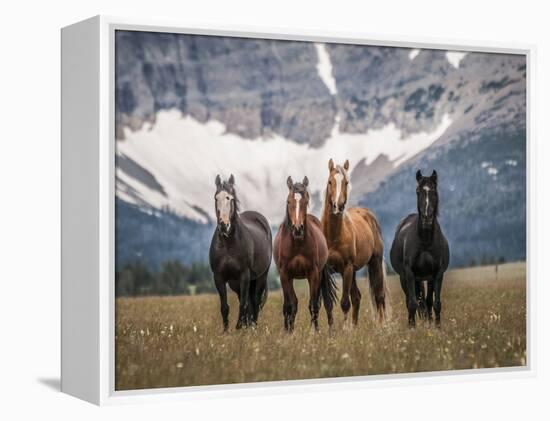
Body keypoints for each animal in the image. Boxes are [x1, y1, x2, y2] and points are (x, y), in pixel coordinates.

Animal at [209, 174, 274, 332]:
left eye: (230, 198)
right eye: (216, 198)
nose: (224, 225)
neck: (229, 244)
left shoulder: (244, 275)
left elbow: (244, 304)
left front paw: (239, 327)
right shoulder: (219, 277)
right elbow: (225, 307)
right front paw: (226, 331)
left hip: (260, 277)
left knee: (254, 301)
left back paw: (253, 326)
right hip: (236, 283)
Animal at [274, 176, 338, 330]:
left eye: (306, 201)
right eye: (288, 202)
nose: (298, 229)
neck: (297, 244)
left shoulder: (313, 274)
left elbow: (313, 305)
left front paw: (315, 331)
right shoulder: (285, 275)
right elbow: (290, 305)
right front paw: (288, 332)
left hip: (321, 274)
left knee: (327, 303)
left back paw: (331, 330)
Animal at [322, 158, 390, 324]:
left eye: (346, 182)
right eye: (330, 182)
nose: (338, 206)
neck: (333, 235)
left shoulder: (347, 268)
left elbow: (345, 303)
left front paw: (346, 329)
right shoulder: (324, 271)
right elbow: (327, 303)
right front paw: (331, 330)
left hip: (374, 262)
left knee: (379, 296)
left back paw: (383, 326)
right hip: (353, 271)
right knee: (357, 297)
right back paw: (355, 325)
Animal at [390, 169, 450, 326]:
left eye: (434, 190)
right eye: (418, 191)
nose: (427, 217)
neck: (425, 240)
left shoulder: (437, 274)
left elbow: (435, 303)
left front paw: (437, 326)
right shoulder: (409, 274)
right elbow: (412, 303)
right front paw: (412, 327)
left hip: (426, 278)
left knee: (426, 301)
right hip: (405, 278)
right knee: (412, 301)